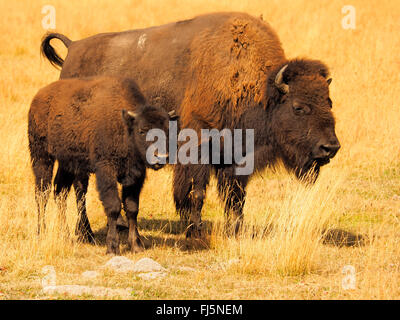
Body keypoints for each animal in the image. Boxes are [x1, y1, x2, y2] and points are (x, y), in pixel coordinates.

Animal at [28, 77, 178, 255]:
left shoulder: (136, 176)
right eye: (142, 130)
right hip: (41, 157)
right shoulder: (106, 172)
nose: (161, 157)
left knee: (60, 192)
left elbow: (132, 208)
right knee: (41, 194)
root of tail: (38, 98)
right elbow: (113, 206)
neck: (125, 126)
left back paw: (66, 236)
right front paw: (112, 247)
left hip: (67, 163)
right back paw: (41, 233)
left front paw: (136, 246)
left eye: (168, 130)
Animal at [40, 11, 340, 238]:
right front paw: (195, 229)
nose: (330, 147)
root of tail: (73, 48)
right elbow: (195, 193)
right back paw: (86, 233)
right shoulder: (197, 150)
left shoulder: (234, 159)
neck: (256, 90)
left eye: (329, 101)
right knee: (78, 188)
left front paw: (235, 230)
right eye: (299, 107)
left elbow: (235, 197)